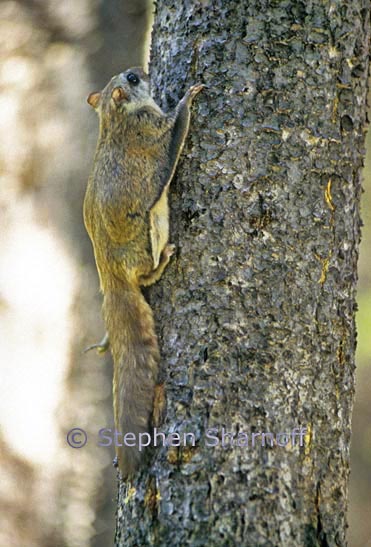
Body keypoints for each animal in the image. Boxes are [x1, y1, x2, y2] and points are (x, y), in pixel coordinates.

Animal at [84, 67, 203, 480]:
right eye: (133, 80)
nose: (146, 72)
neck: (114, 117)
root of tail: (112, 279)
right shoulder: (153, 126)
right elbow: (177, 124)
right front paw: (188, 96)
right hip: (151, 229)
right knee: (147, 275)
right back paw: (164, 259)